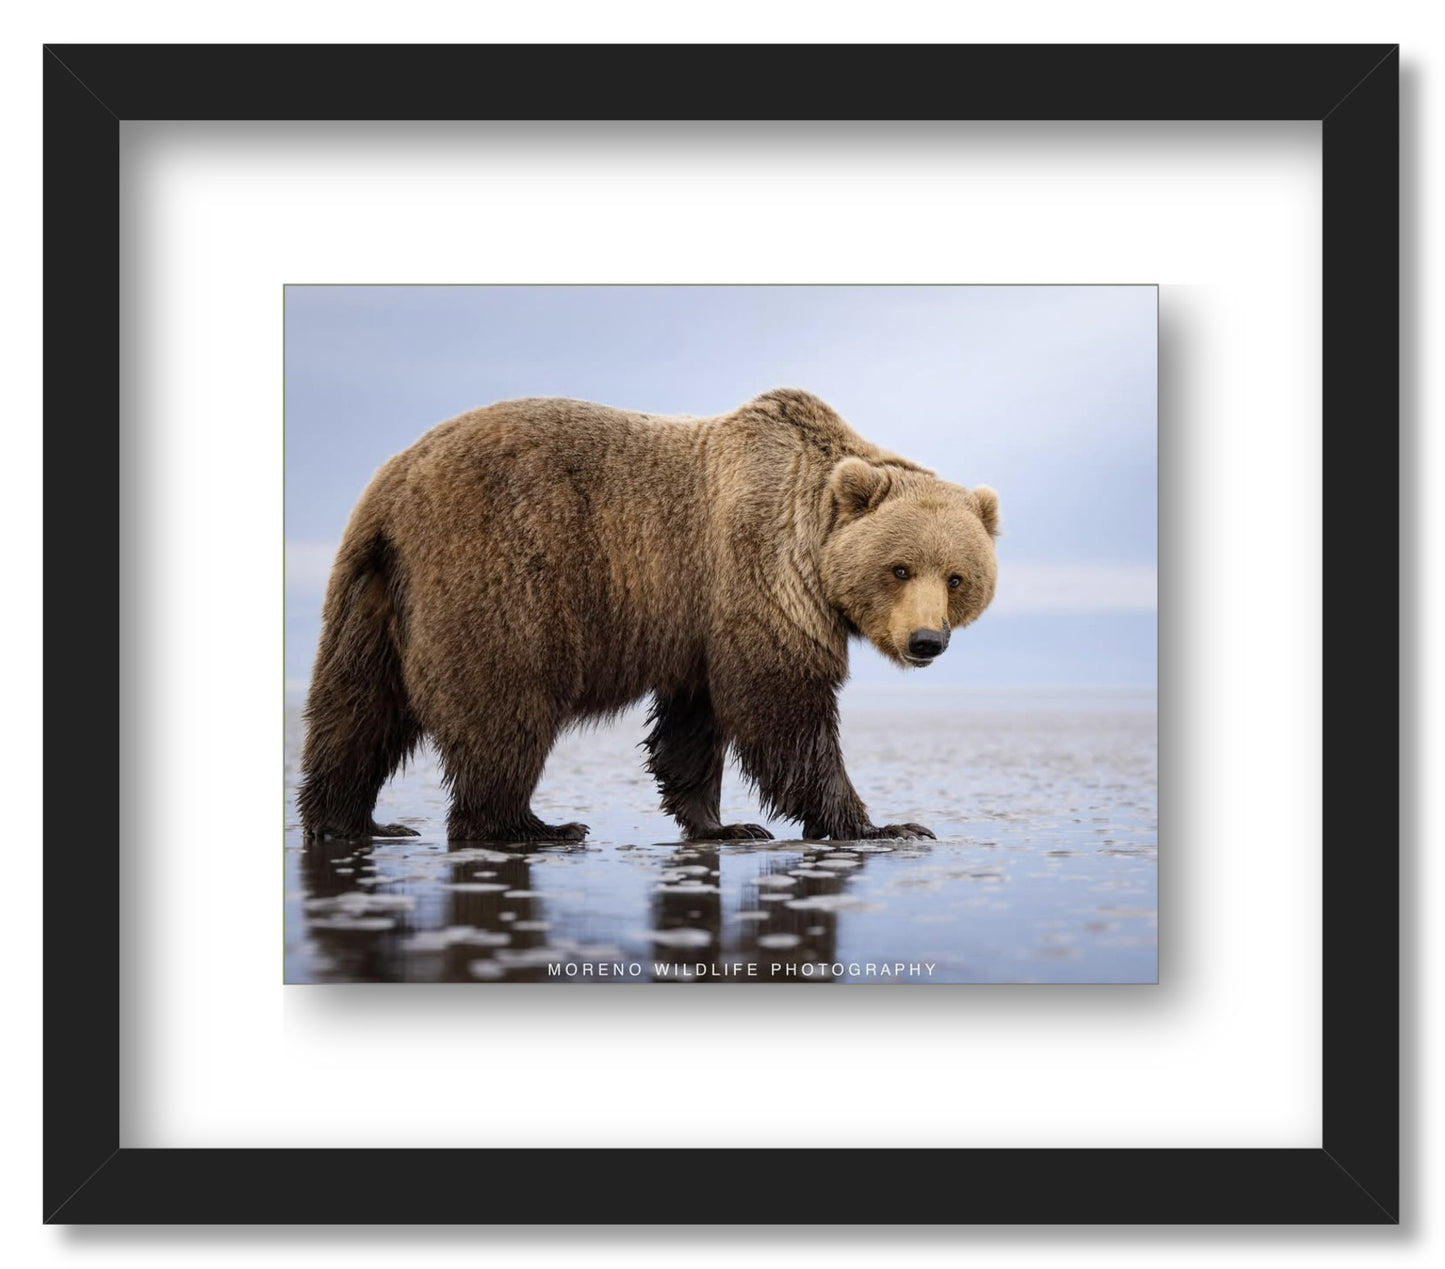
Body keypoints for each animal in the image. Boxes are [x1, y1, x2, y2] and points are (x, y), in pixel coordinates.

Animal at [298, 388, 999, 844]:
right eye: (900, 568)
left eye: (957, 577)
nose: (926, 640)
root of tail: (393, 487)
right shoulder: (758, 574)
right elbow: (782, 707)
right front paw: (885, 825)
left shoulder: (698, 620)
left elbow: (695, 721)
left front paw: (723, 824)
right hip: (499, 569)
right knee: (505, 703)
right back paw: (530, 825)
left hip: (371, 594)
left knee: (357, 709)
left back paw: (354, 820)